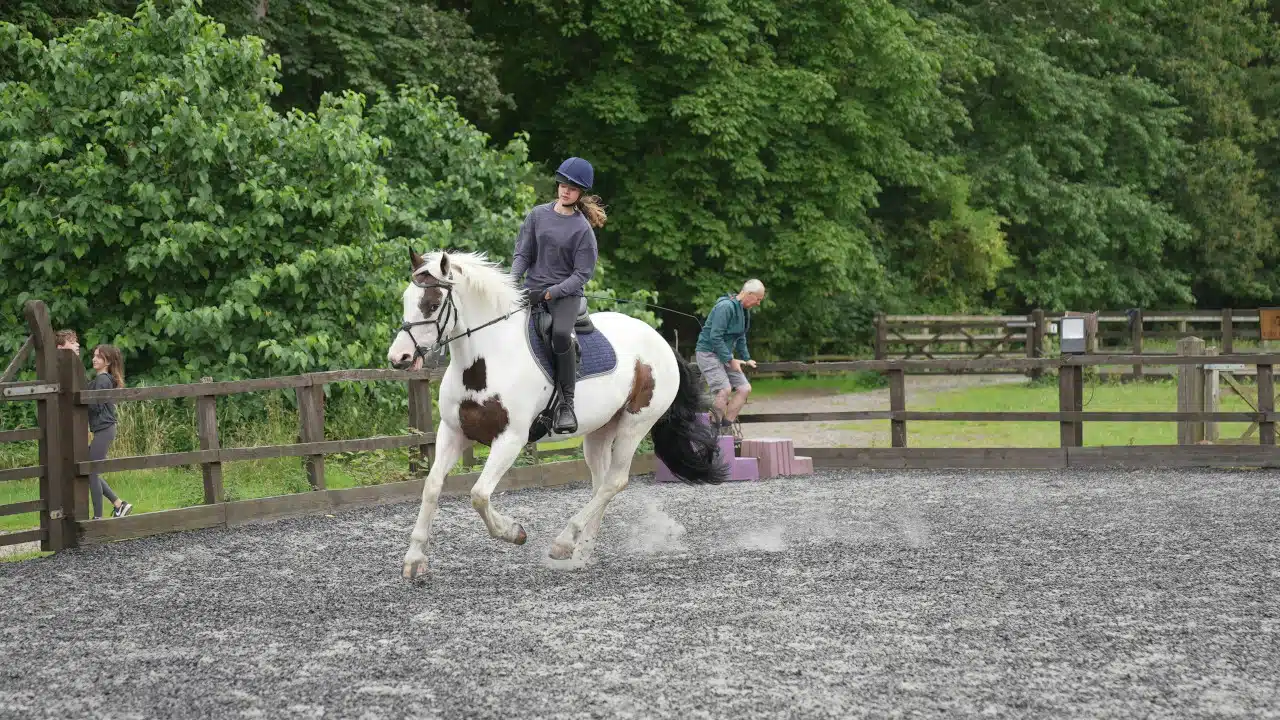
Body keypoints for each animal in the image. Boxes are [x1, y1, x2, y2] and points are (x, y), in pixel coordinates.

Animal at [384, 249, 727, 573]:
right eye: (406, 299)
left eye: (432, 303)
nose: (399, 358)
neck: (486, 361)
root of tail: (661, 342)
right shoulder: (453, 431)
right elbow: (432, 487)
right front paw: (414, 559)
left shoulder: (510, 439)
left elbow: (479, 494)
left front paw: (514, 532)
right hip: (600, 430)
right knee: (601, 484)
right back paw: (582, 551)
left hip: (635, 424)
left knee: (615, 481)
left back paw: (564, 542)